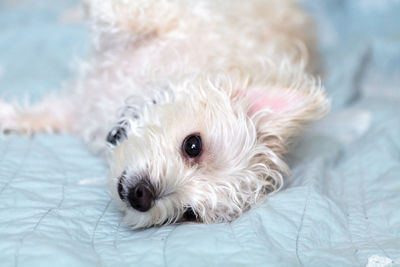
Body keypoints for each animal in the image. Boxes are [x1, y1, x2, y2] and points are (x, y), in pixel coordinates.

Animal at [0, 0, 328, 230]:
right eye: (193, 145)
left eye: (189, 213)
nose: (141, 195)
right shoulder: (178, 18)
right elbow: (123, 13)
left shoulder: (74, 110)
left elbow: (33, 117)